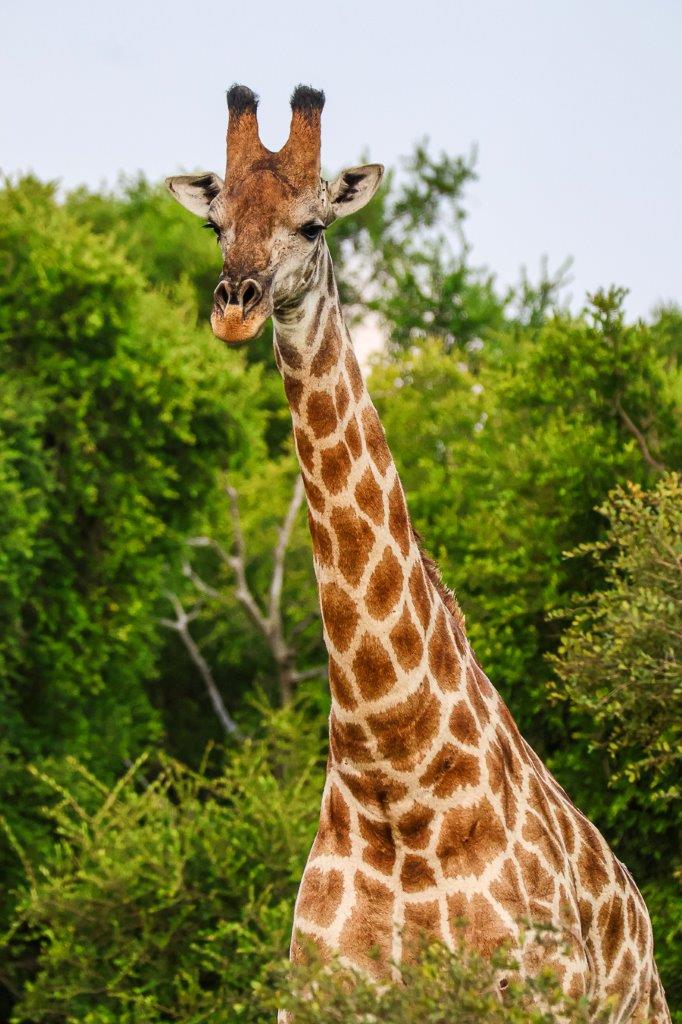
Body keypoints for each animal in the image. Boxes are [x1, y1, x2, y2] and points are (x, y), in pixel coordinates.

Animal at [165, 84, 670, 1023]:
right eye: (217, 224)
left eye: (314, 223)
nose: (235, 305)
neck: (392, 767)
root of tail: (640, 916)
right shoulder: (320, 995)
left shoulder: (531, 993)